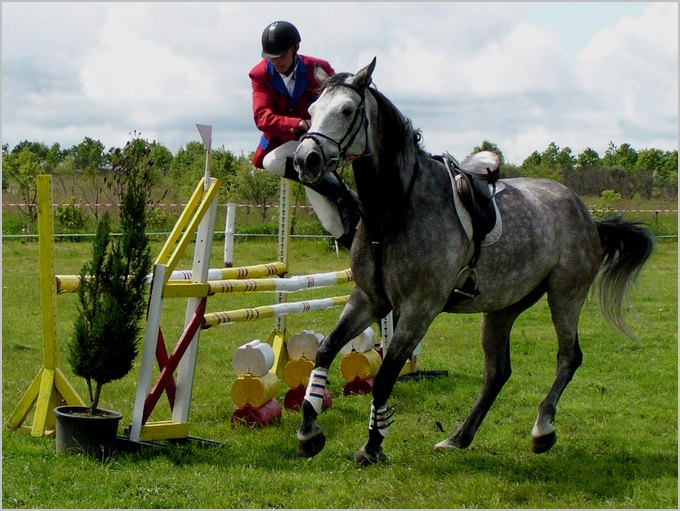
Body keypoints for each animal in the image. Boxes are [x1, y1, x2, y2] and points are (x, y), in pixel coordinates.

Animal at [290, 58, 652, 466]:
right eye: (311, 112)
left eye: (347, 110)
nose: (305, 160)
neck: (393, 210)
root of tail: (586, 214)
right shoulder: (369, 298)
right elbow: (325, 350)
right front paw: (309, 431)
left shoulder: (419, 309)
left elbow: (384, 376)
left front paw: (372, 446)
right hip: (503, 307)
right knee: (497, 371)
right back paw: (458, 437)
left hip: (565, 295)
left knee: (567, 357)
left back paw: (542, 430)